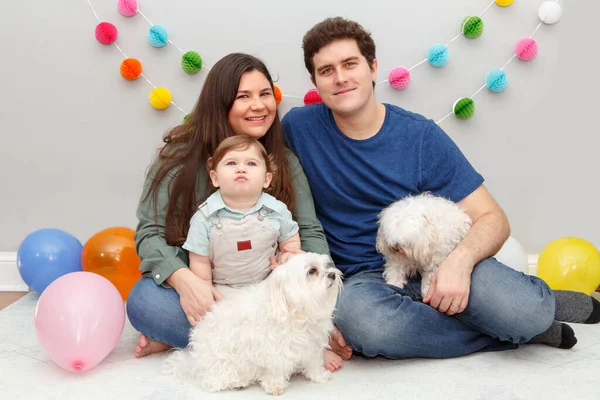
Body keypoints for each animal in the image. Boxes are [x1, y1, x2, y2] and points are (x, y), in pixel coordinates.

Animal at [162, 252, 344, 396]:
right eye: (312, 271)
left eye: (326, 266)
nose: (332, 275)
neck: (296, 312)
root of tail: (195, 360)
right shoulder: (273, 349)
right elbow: (276, 369)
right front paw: (275, 385)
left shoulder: (311, 344)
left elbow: (313, 363)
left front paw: (319, 376)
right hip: (224, 361)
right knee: (214, 380)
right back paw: (235, 382)